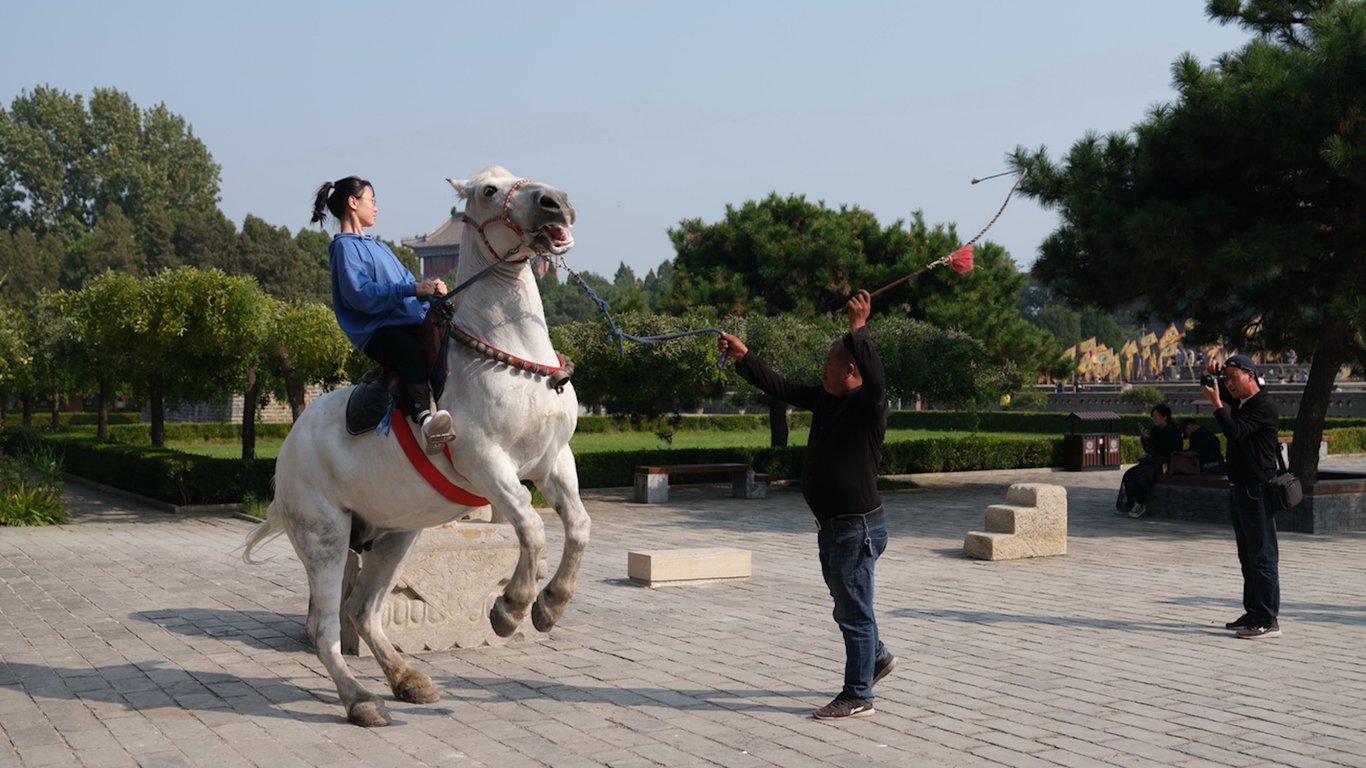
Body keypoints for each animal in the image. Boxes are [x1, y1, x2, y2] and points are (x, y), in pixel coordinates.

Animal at [245, 166, 587, 721]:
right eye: (489, 190)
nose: (555, 203)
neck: (513, 360)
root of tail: (289, 448)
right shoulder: (485, 462)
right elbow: (532, 527)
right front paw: (510, 608)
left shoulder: (554, 460)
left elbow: (578, 526)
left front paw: (550, 605)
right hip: (324, 535)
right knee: (325, 628)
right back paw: (361, 700)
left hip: (394, 534)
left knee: (363, 611)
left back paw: (407, 681)